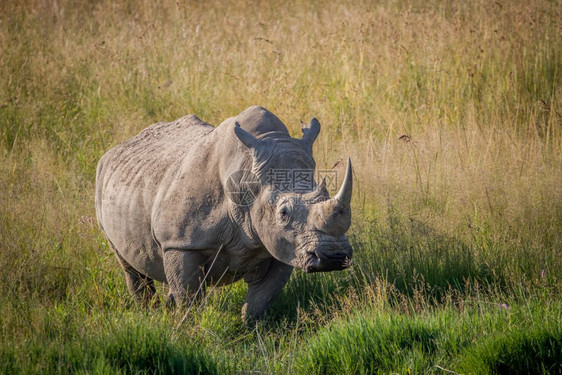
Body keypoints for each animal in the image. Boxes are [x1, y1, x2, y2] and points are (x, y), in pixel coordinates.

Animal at [95, 107, 350, 322]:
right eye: (284, 213)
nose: (334, 257)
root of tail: (119, 146)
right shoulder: (180, 243)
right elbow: (190, 298)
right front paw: (192, 330)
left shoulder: (284, 246)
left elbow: (260, 300)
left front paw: (251, 330)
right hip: (102, 181)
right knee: (130, 267)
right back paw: (148, 313)